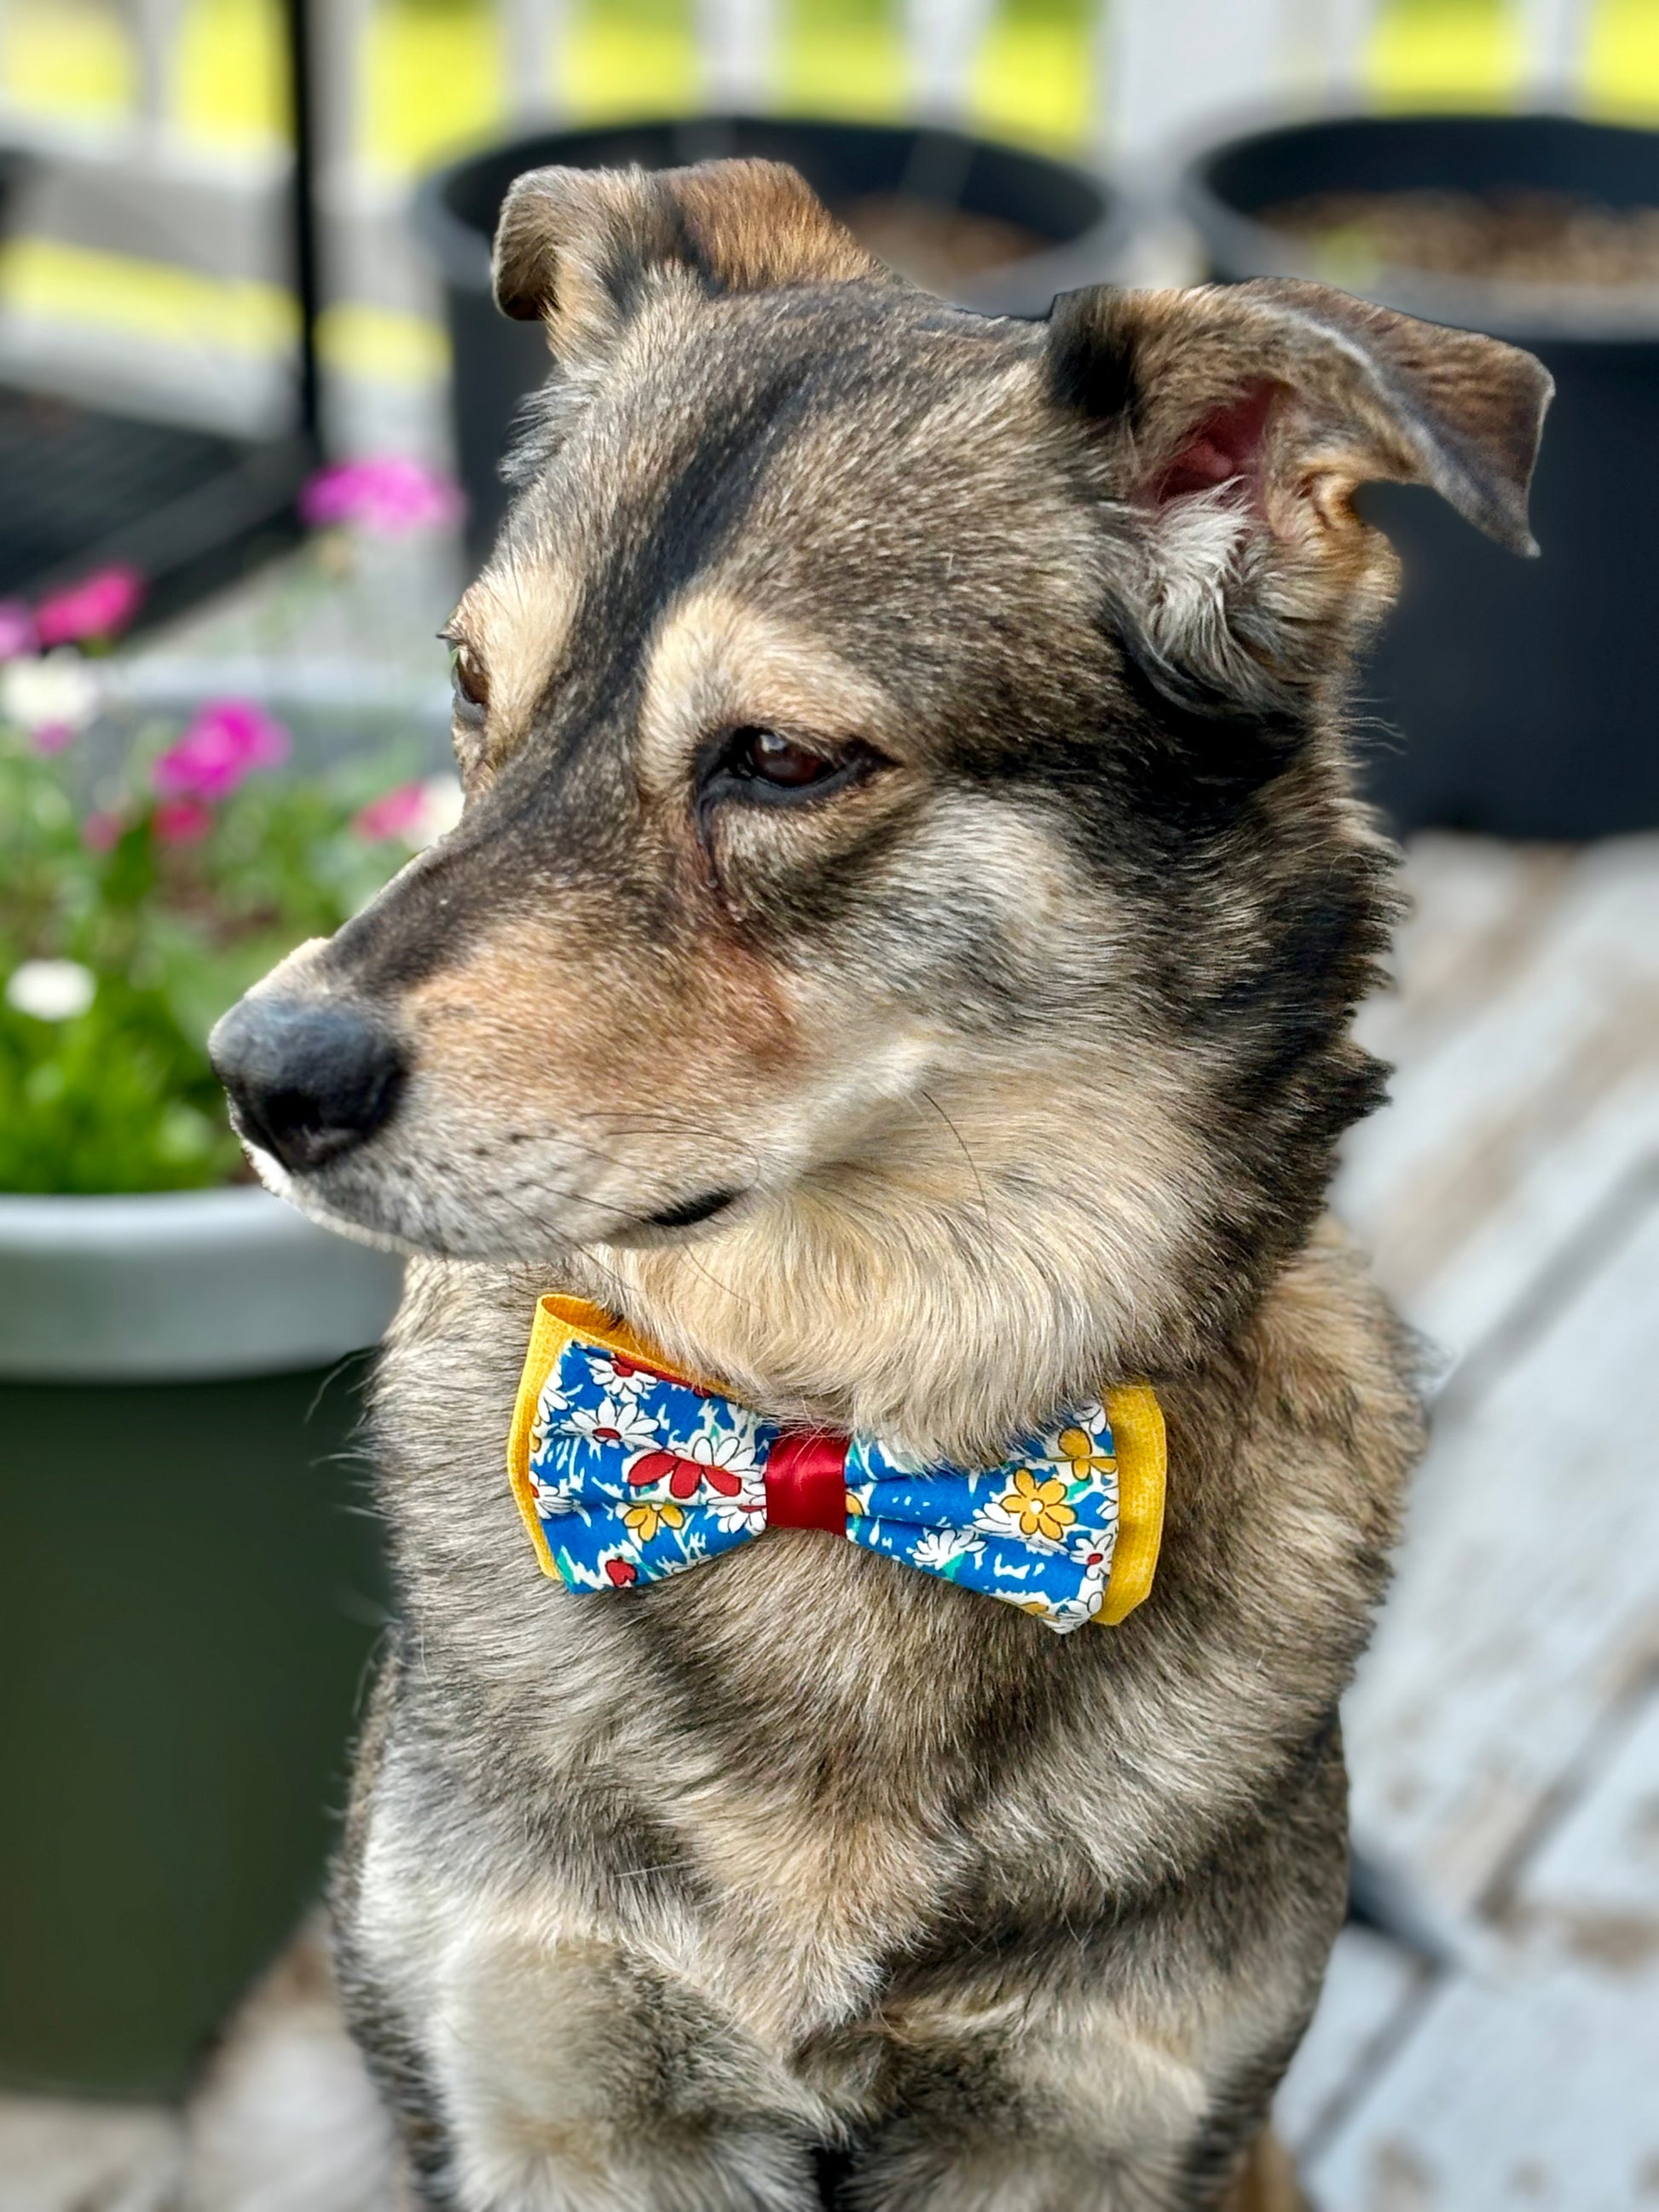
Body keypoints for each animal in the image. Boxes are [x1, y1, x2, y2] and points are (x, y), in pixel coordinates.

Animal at [211, 160, 1557, 2212]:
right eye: (470, 688)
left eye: (779, 758)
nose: (260, 1076)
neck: (842, 1438)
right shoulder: (548, 2082)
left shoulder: (1099, 2122)